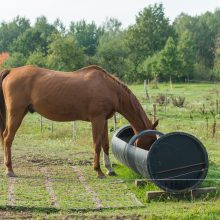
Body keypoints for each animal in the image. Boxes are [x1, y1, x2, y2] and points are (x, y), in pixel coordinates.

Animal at [0, 65, 158, 177]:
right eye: (151, 140)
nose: (146, 160)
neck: (109, 87)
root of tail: (11, 71)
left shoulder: (104, 120)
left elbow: (105, 145)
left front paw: (109, 169)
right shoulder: (97, 119)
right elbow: (97, 144)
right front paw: (98, 171)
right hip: (16, 114)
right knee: (8, 138)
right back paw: (9, 170)